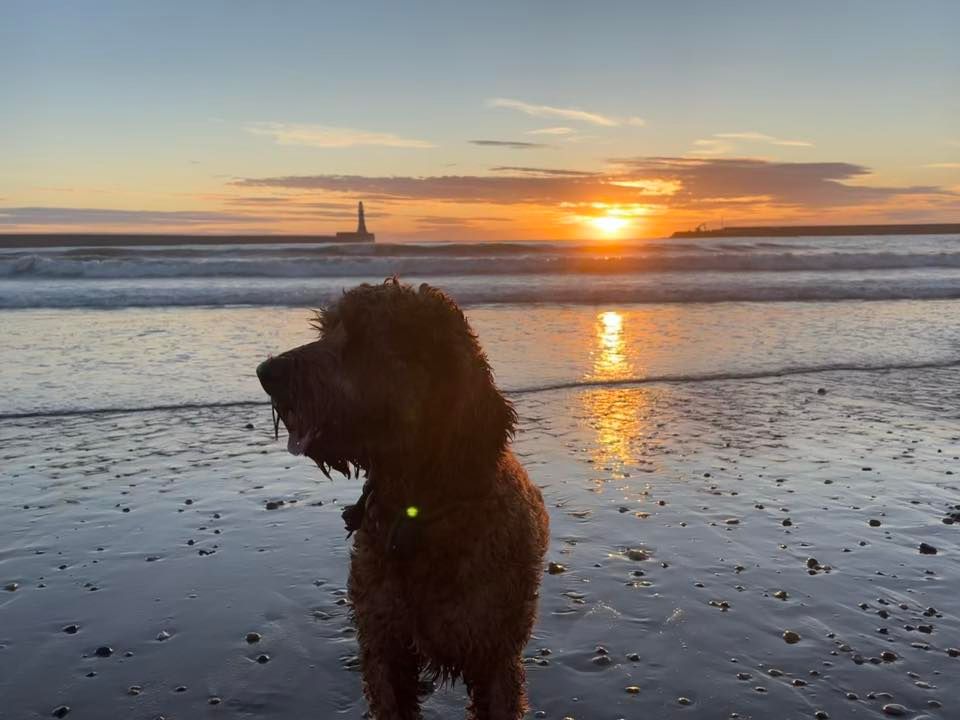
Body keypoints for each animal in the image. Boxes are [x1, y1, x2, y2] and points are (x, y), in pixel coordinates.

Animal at [258, 278, 552, 716]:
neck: (417, 514)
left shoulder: (495, 656)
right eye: (326, 330)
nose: (266, 372)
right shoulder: (385, 648)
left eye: (363, 338)